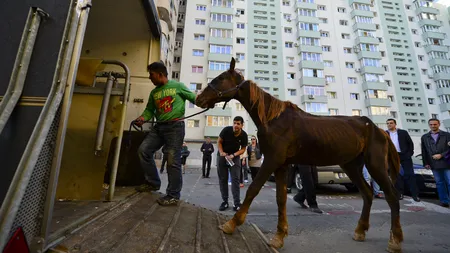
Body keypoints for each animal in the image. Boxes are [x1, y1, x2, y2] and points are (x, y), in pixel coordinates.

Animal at [195, 57, 402, 253]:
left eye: (220, 78)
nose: (199, 99)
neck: (273, 119)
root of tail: (379, 130)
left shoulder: (272, 161)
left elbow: (253, 189)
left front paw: (231, 224)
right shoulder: (281, 165)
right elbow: (280, 198)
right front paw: (279, 237)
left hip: (375, 165)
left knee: (392, 195)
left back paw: (395, 241)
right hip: (351, 166)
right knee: (367, 194)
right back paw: (360, 231)